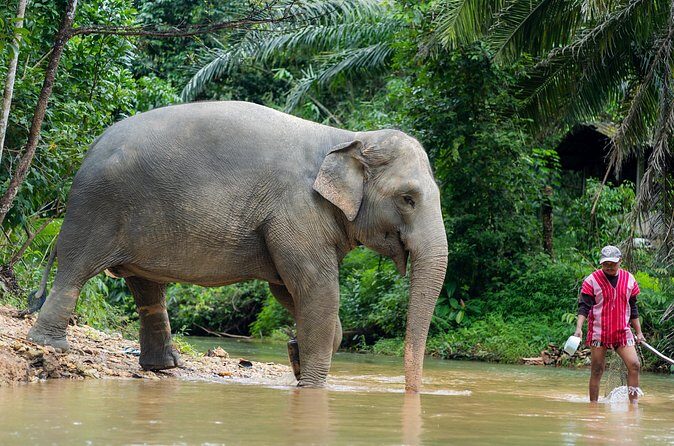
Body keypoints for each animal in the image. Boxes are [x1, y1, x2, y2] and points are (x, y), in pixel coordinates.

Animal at [27, 101, 448, 391]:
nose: (412, 392)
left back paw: (163, 367)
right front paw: (311, 386)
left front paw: (295, 352)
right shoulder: (297, 211)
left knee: (147, 289)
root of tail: (91, 146)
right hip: (96, 210)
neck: (347, 136)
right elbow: (316, 291)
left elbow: (288, 291)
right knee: (75, 273)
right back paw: (51, 346)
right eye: (408, 199)